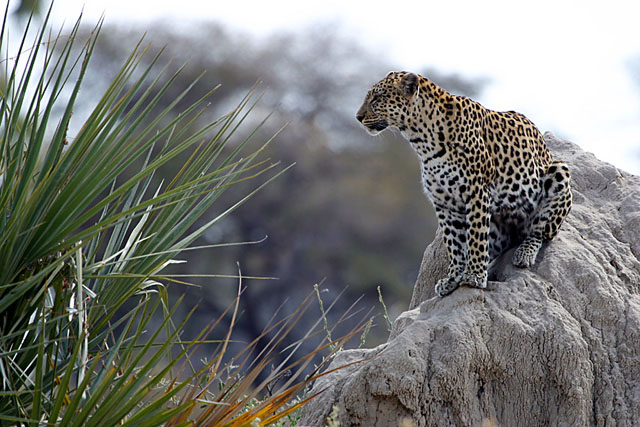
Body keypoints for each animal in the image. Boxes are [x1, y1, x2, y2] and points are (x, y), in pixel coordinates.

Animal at [358, 71, 572, 298]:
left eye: (376, 98)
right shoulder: (444, 203)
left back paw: (523, 254)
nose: (358, 117)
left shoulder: (477, 191)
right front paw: (453, 278)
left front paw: (474, 277)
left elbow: (476, 236)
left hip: (558, 172)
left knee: (539, 232)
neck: (421, 140)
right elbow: (455, 243)